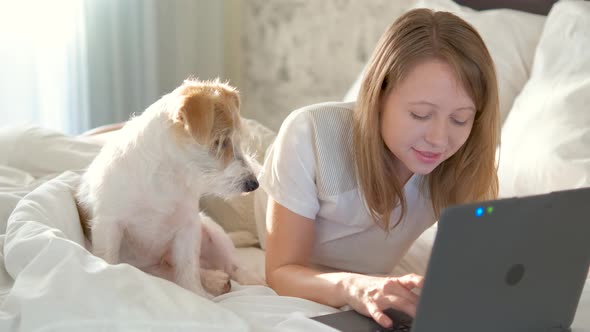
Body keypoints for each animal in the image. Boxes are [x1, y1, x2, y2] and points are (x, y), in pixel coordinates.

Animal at [75, 78, 264, 298]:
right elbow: (109, 259)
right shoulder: (109, 225)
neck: (168, 177)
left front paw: (198, 297)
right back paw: (215, 279)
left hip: (213, 230)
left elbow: (188, 271)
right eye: (220, 142)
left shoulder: (188, 228)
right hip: (152, 268)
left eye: (238, 140)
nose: (254, 184)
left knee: (232, 264)